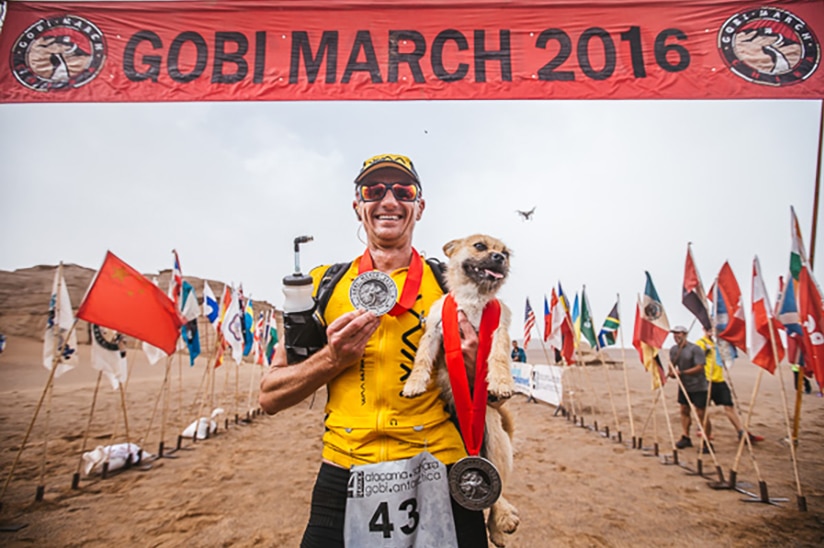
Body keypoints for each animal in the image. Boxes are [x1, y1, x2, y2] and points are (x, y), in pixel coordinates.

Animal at [402, 233, 520, 544]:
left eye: (505, 253)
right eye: (480, 246)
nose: (499, 258)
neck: (473, 298)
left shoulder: (498, 331)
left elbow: (498, 357)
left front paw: (501, 382)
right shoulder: (434, 332)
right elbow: (421, 360)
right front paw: (414, 384)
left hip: (495, 439)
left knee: (498, 493)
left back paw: (501, 524)